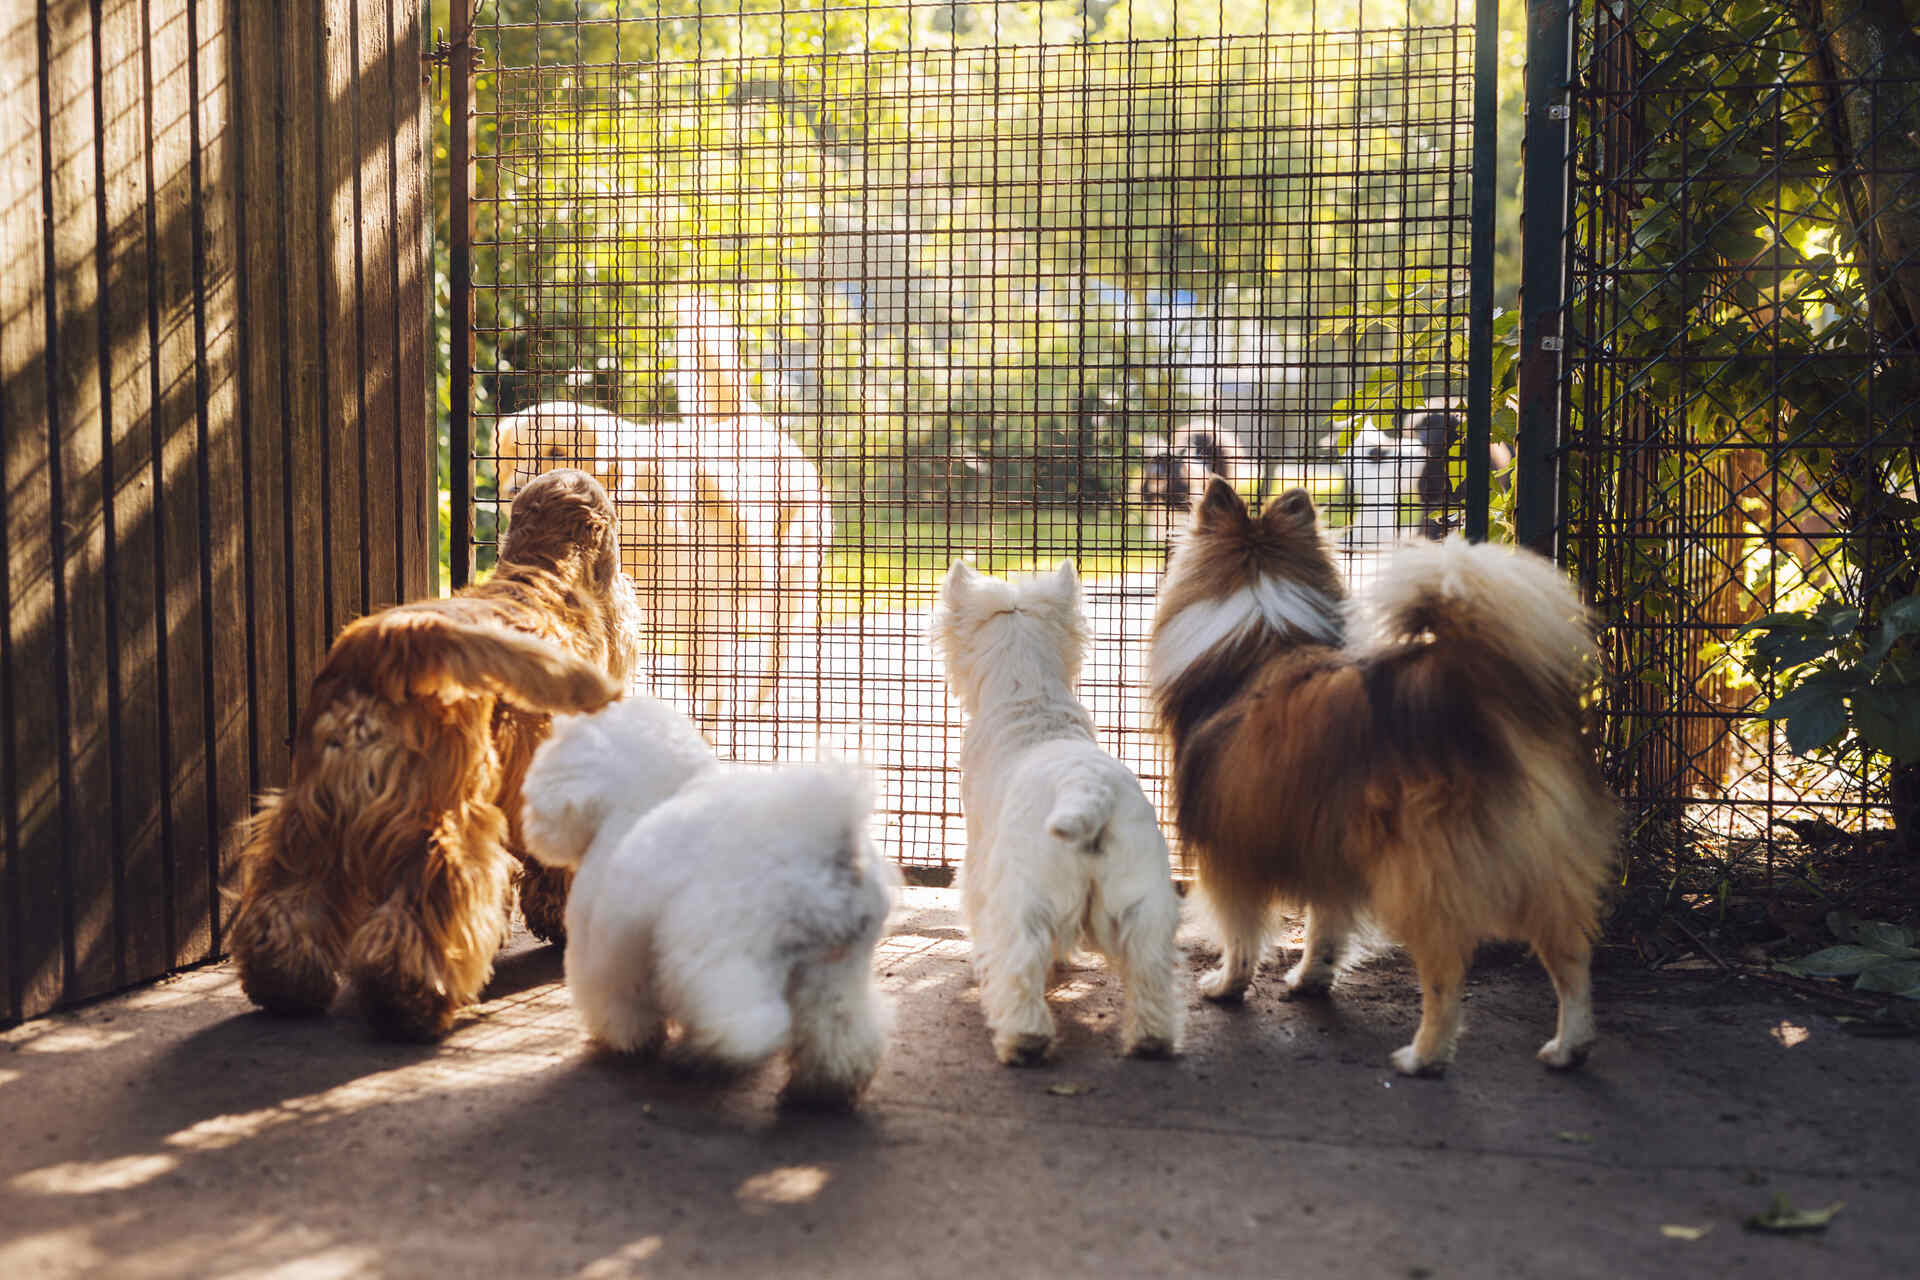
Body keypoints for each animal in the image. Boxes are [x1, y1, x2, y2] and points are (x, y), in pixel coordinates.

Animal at [226, 470, 637, 1043]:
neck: (543, 568)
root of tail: (393, 639)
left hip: (311, 812)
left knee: (286, 899)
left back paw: (284, 984)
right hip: (442, 815)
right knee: (427, 904)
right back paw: (409, 999)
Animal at [514, 694, 894, 1105]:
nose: (532, 824)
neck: (649, 792)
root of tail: (827, 846)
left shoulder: (602, 952)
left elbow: (619, 1002)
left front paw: (627, 1041)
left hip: (720, 951)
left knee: (748, 1022)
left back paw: (710, 1053)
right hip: (837, 967)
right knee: (840, 1030)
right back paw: (824, 1090)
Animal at [929, 560, 1182, 1074]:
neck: (1029, 695)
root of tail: (1087, 790)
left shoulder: (979, 862)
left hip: (1025, 895)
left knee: (1021, 963)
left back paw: (1023, 1040)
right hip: (1141, 897)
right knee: (1149, 968)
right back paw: (1150, 1039)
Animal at [1144, 477, 1612, 1074]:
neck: (1260, 635)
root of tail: (1474, 685)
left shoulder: (1229, 849)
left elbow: (1241, 931)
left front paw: (1226, 985)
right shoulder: (1327, 844)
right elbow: (1325, 925)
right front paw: (1310, 978)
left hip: (1422, 877)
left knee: (1446, 978)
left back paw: (1423, 1056)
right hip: (1544, 866)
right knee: (1572, 959)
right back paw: (1569, 1046)